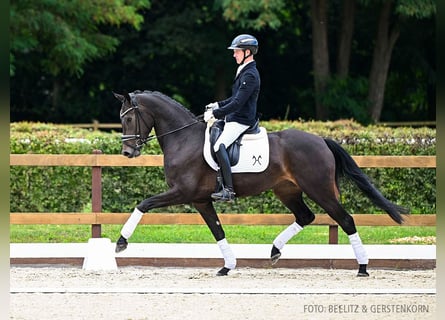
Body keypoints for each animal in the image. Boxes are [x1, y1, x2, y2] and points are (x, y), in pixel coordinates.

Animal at [112, 90, 408, 278]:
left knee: (345, 220)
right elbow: (217, 230)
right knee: (306, 216)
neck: (183, 138)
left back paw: (363, 268)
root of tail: (321, 140)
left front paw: (121, 243)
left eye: (128, 118)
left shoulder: (182, 192)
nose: (127, 152)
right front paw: (227, 266)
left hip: (320, 190)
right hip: (287, 190)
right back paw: (275, 250)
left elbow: (143, 204)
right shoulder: (200, 199)